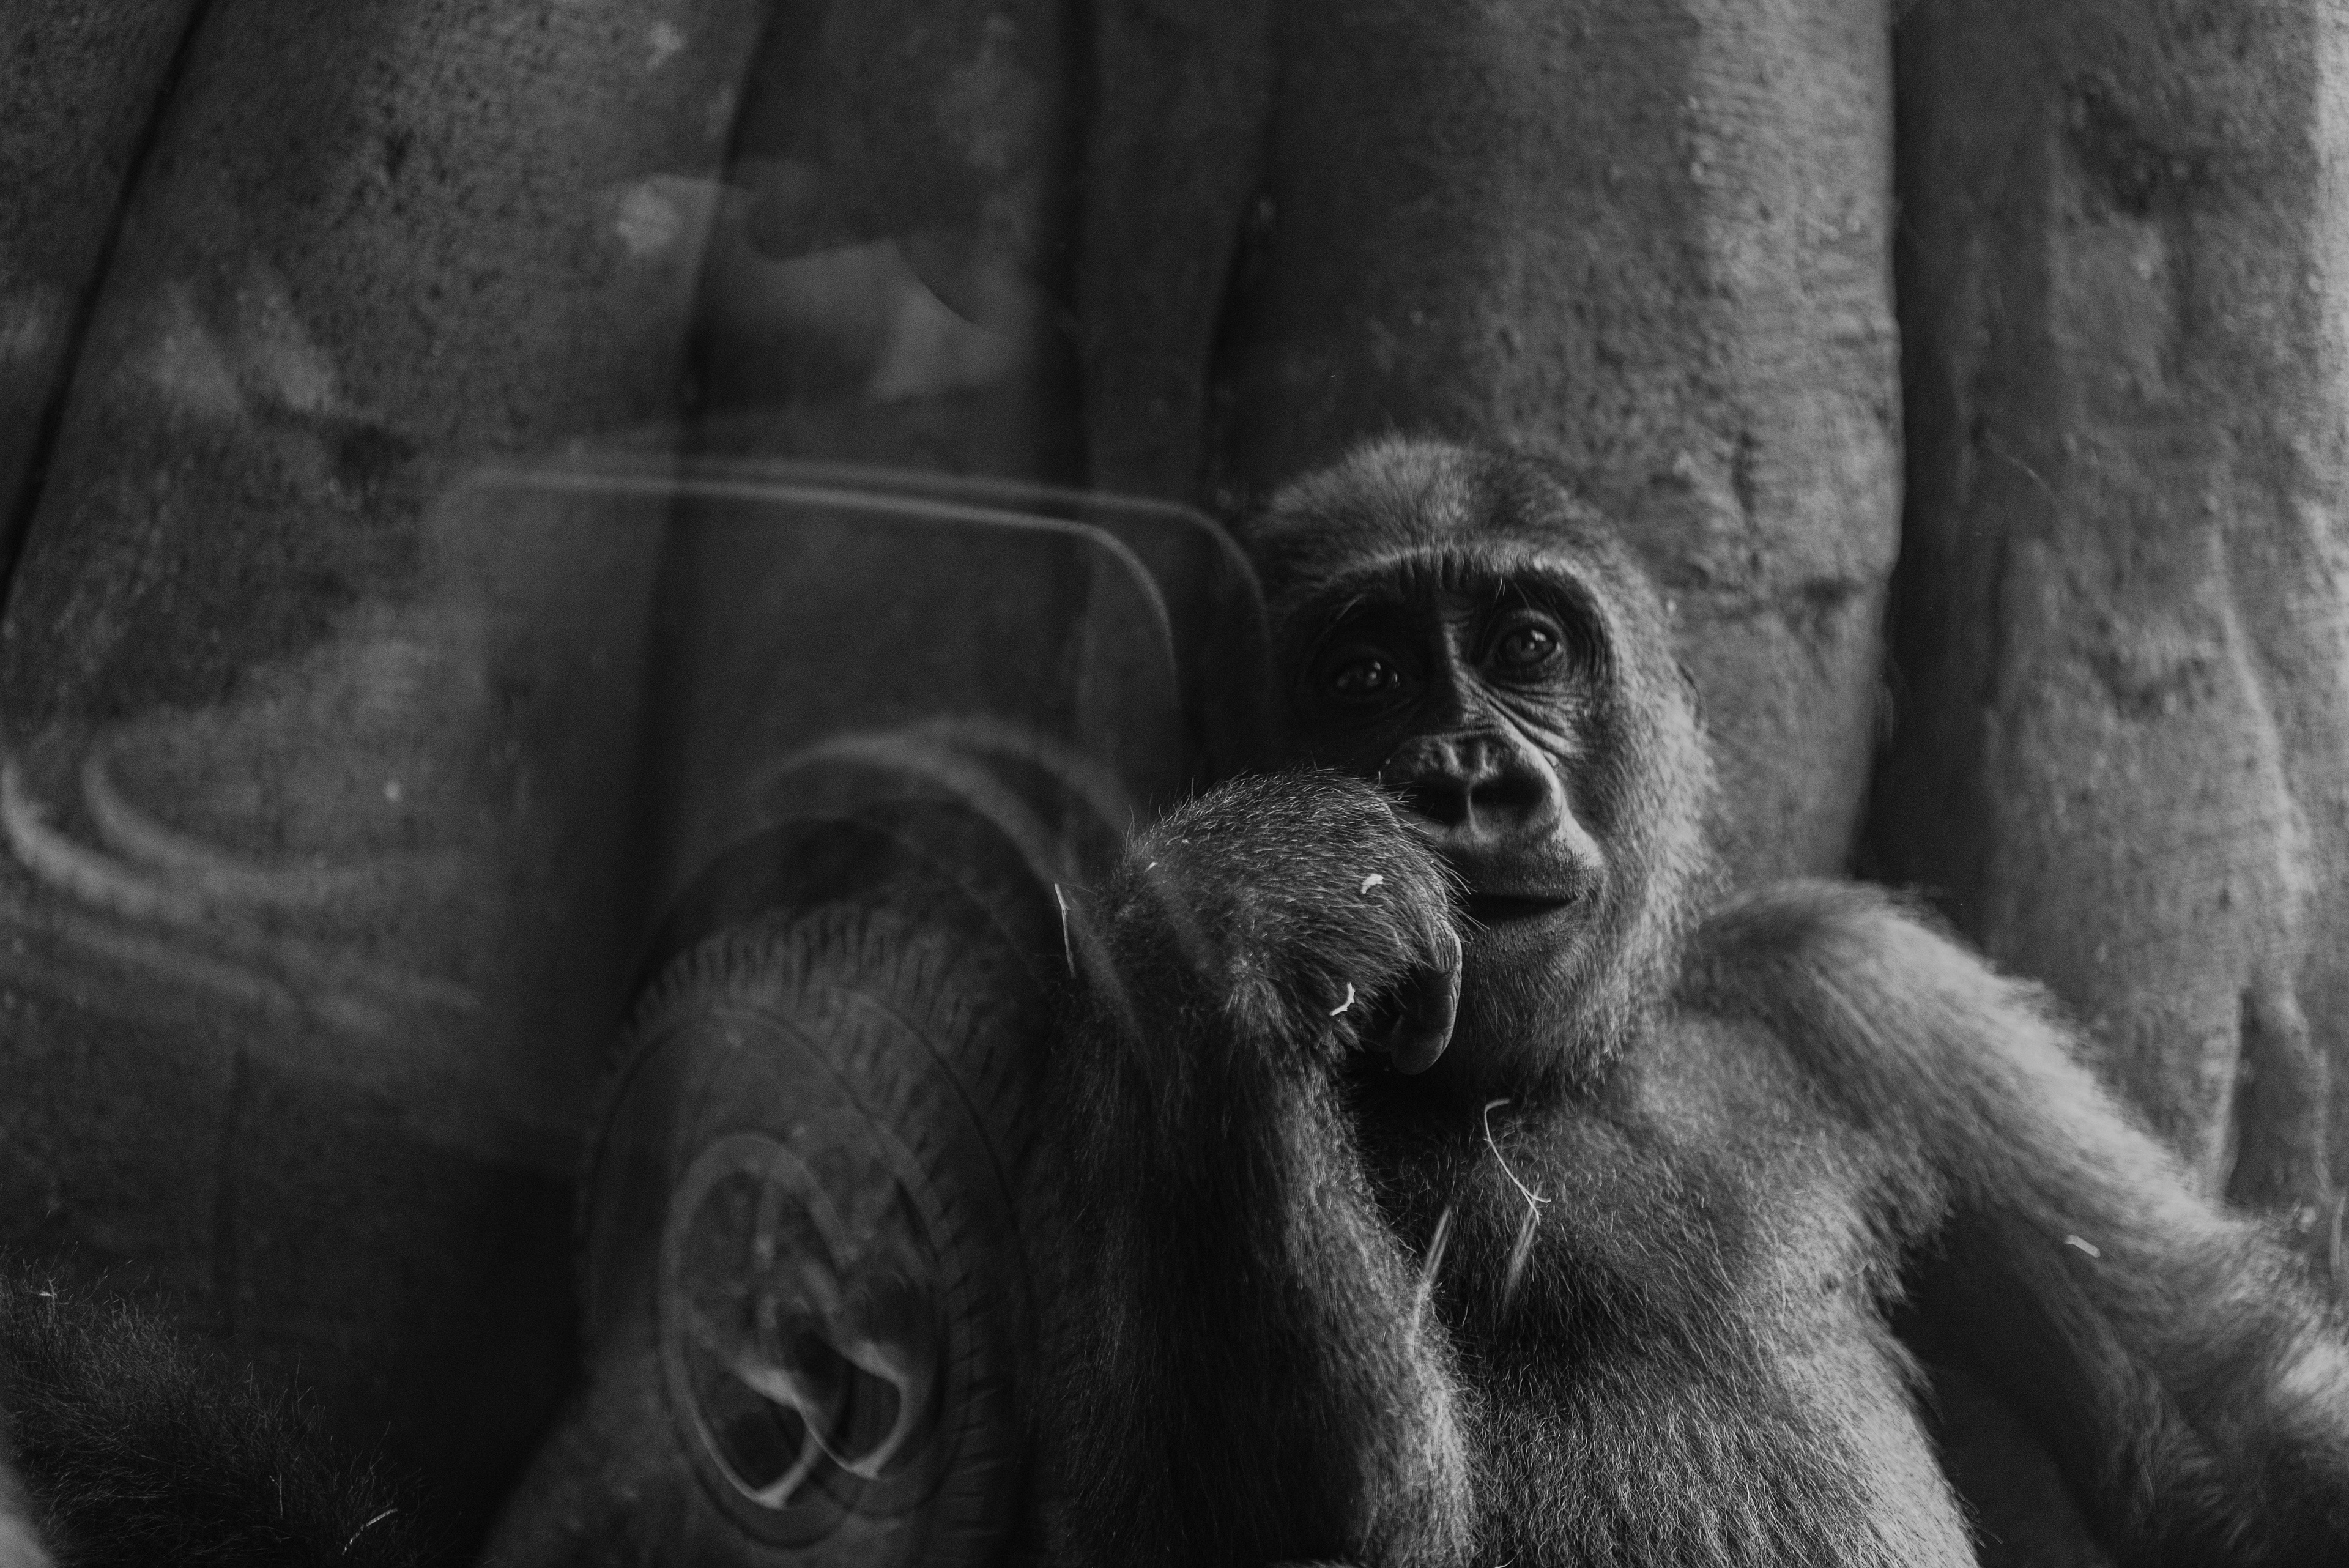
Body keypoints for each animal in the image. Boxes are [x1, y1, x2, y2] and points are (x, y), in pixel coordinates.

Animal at [1026, 437, 2349, 1566]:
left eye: (1529, 648)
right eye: (1365, 676)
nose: (1471, 779)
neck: (1560, 1065)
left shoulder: (1865, 990)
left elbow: (2225, 1421)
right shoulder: (1093, 1044)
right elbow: (1276, 1526)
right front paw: (1261, 899)